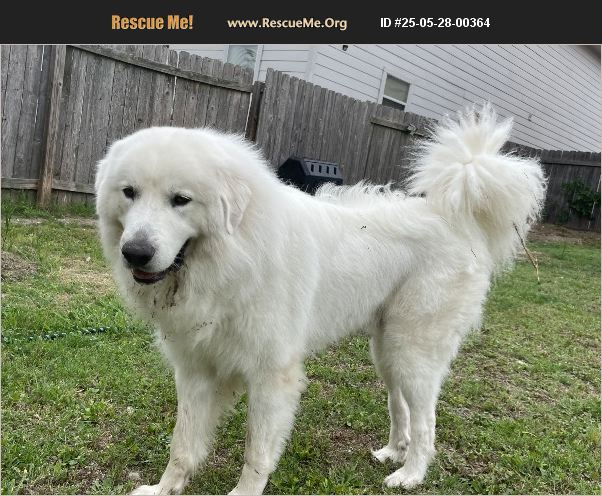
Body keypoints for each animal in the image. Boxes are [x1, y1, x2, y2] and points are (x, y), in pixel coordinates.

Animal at [94, 105, 546, 495]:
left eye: (181, 200)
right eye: (130, 192)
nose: (134, 253)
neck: (235, 254)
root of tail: (453, 215)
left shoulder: (272, 376)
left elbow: (256, 452)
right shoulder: (195, 371)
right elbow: (182, 444)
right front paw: (164, 489)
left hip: (413, 351)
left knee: (426, 421)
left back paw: (411, 473)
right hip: (387, 351)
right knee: (399, 406)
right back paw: (392, 452)